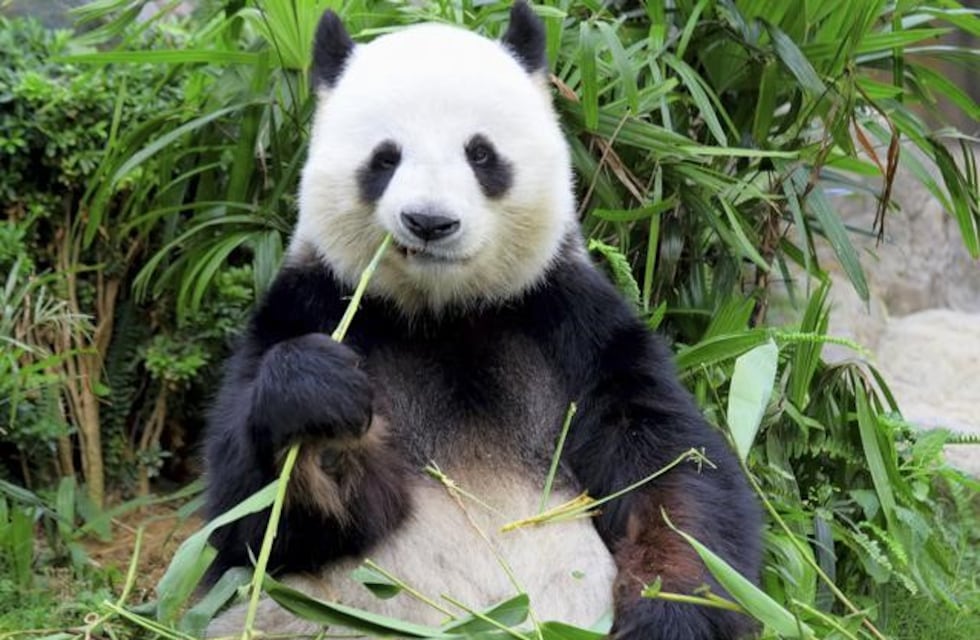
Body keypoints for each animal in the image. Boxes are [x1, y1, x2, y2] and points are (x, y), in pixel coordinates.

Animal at [203, 2, 761, 639]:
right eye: (385, 157)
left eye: (481, 154)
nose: (429, 222)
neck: (443, 313)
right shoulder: (311, 302)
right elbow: (254, 524)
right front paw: (320, 412)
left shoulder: (572, 323)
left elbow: (672, 472)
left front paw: (670, 612)